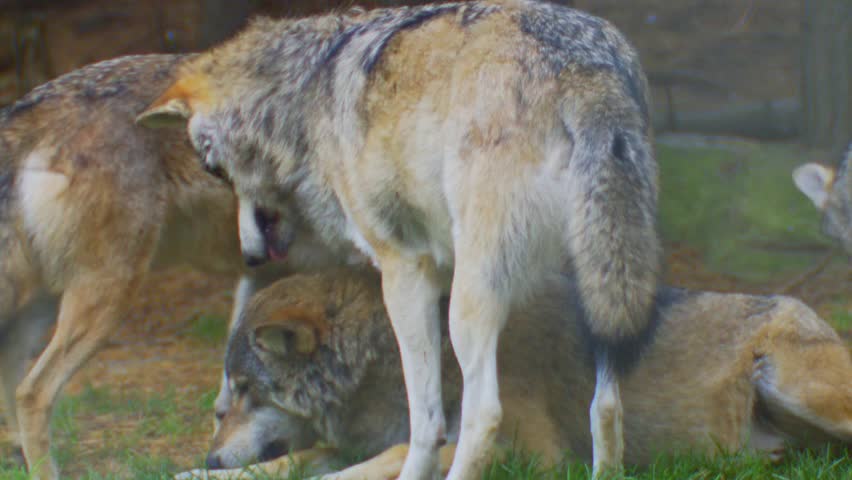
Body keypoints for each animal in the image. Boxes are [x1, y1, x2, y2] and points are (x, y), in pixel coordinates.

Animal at [0, 54, 353, 479]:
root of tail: (29, 105)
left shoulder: (262, 276)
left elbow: (231, 398)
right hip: (106, 294)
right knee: (32, 393)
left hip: (44, 302)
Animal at [138, 2, 661, 477]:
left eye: (214, 169)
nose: (249, 255)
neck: (305, 93)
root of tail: (584, 66)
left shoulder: (403, 272)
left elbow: (424, 421)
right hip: (601, 286)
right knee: (606, 406)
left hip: (472, 306)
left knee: (484, 413)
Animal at [175, 271, 852, 480]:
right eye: (225, 400)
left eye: (244, 392)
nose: (209, 455)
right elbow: (293, 460)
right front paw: (192, 473)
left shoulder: (529, 452)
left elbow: (372, 464)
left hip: (789, 381)